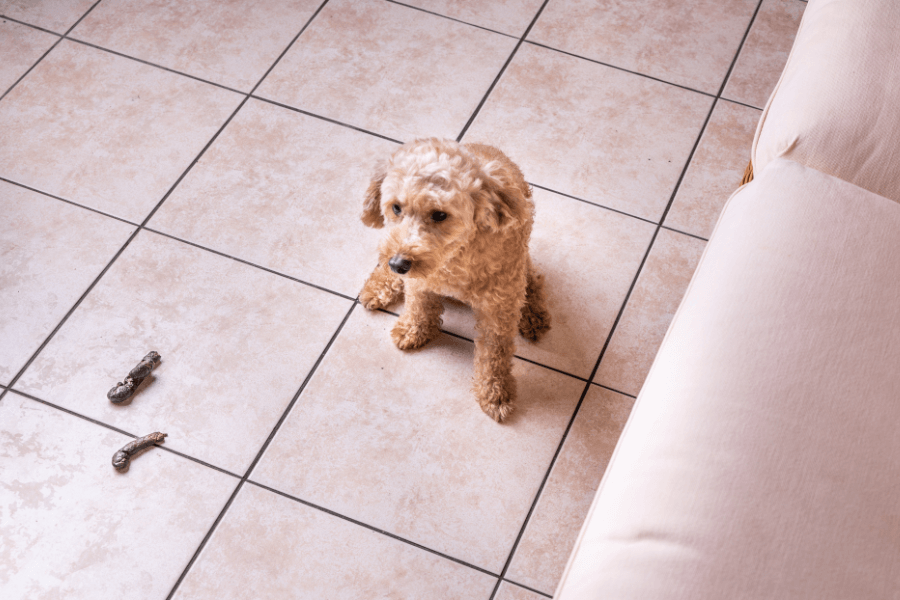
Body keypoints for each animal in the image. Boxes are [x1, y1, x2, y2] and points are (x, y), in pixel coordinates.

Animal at [356, 140, 548, 422]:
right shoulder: (419, 282)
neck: (454, 258)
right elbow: (418, 306)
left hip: (520, 269)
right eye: (396, 208)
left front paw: (495, 391)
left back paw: (532, 313)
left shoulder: (499, 306)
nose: (398, 264)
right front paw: (413, 329)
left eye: (439, 215)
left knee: (533, 279)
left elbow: (495, 351)